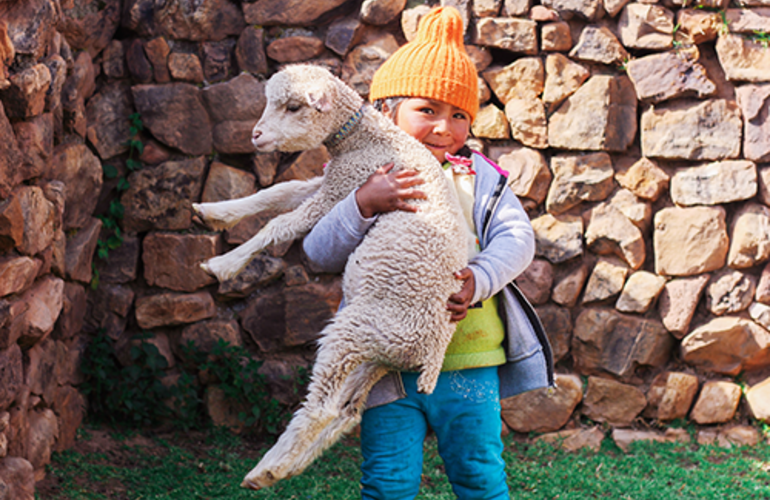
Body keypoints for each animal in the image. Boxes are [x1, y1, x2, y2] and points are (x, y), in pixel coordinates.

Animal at [192, 64, 469, 491]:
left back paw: (264, 469)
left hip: (355, 332)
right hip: (375, 358)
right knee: (347, 411)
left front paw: (224, 264)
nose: (255, 135)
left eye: (292, 106)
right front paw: (213, 213)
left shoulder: (342, 188)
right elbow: (278, 191)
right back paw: (283, 468)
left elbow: (280, 223)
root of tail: (430, 356)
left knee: (322, 407)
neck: (364, 139)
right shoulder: (331, 183)